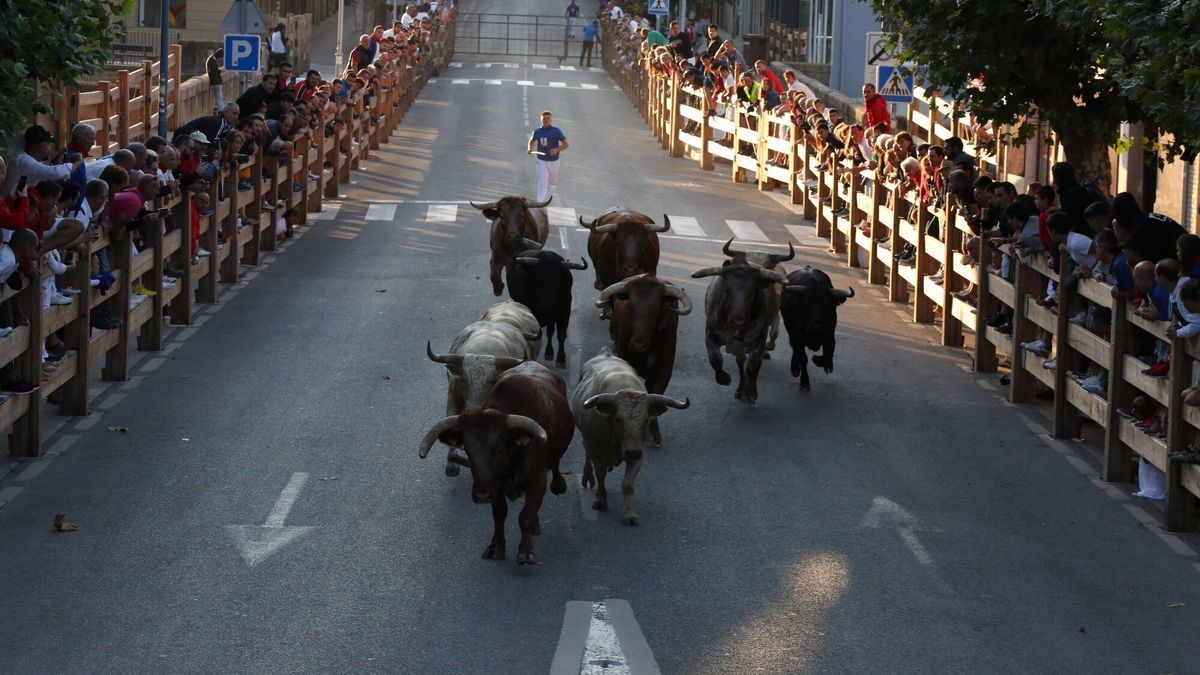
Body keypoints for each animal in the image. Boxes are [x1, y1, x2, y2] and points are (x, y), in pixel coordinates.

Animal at [595, 270, 691, 444]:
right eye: (630, 307)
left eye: (657, 309)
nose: (638, 345)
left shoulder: (664, 370)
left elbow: (656, 395)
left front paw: (653, 433)